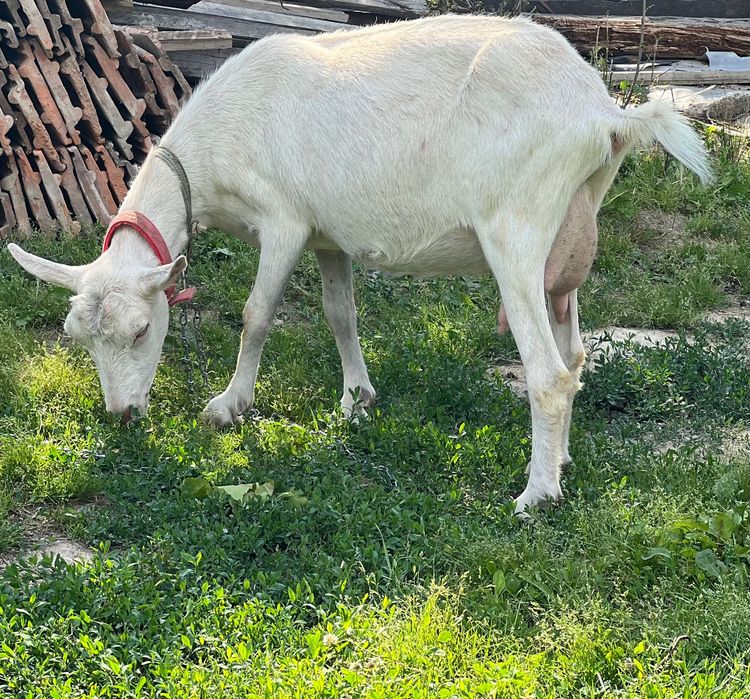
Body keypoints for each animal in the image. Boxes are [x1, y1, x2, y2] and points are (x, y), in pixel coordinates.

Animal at [8, 15, 711, 512]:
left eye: (140, 331)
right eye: (79, 339)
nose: (122, 416)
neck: (211, 151)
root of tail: (604, 112)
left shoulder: (285, 220)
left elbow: (256, 314)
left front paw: (229, 405)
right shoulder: (328, 236)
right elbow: (338, 313)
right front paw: (357, 398)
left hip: (517, 225)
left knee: (549, 372)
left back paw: (535, 494)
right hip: (567, 231)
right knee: (575, 354)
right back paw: (559, 464)